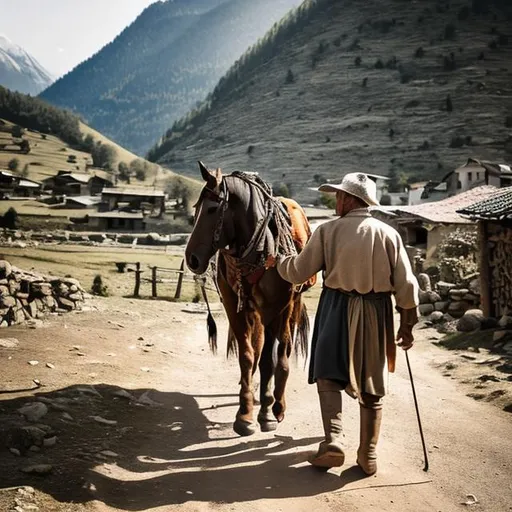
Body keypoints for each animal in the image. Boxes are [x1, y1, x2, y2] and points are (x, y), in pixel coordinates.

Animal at [184, 161, 312, 436]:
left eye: (212, 209)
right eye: (196, 209)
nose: (192, 259)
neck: (260, 246)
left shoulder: (278, 307)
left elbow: (271, 360)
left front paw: (268, 412)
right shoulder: (236, 305)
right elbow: (248, 355)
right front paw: (245, 413)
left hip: (289, 306)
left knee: (281, 350)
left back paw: (275, 401)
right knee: (259, 347)